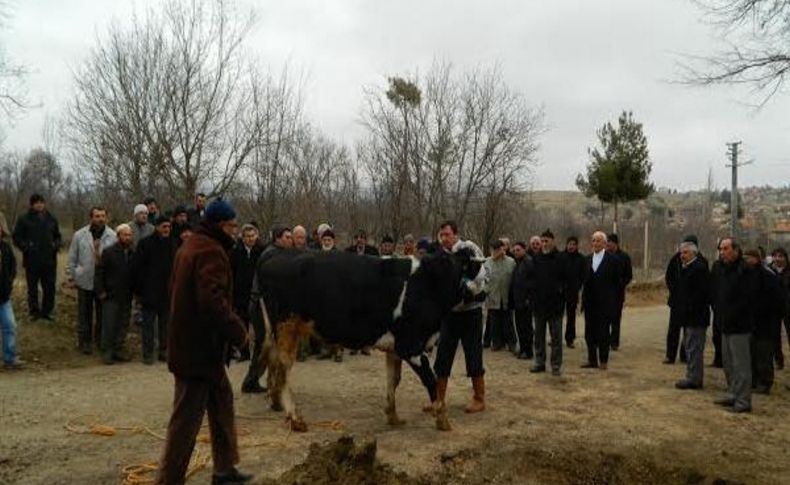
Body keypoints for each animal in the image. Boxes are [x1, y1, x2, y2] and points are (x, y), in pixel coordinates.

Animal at [256, 248, 486, 430]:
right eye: (465, 270)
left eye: (459, 269)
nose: (483, 294)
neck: (428, 286)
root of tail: (276, 253)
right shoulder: (410, 345)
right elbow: (431, 381)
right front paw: (442, 420)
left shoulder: (395, 348)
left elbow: (393, 380)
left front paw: (393, 417)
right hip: (287, 327)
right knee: (283, 369)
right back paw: (295, 418)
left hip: (275, 331)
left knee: (273, 362)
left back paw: (276, 403)